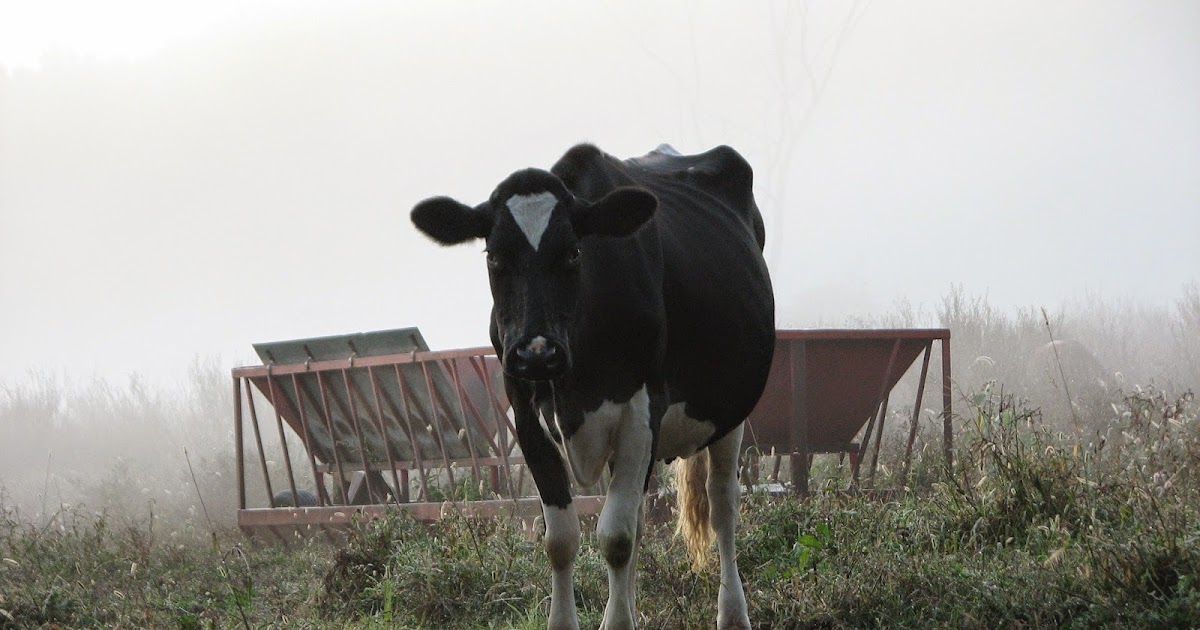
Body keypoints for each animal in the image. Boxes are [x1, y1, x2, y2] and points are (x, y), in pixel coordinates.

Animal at [411, 143, 775, 630]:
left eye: (572, 253)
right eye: (493, 257)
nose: (536, 353)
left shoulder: (641, 410)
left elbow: (615, 537)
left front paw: (618, 621)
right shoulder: (525, 414)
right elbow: (562, 539)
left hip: (728, 411)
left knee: (722, 506)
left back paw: (733, 613)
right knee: (642, 514)